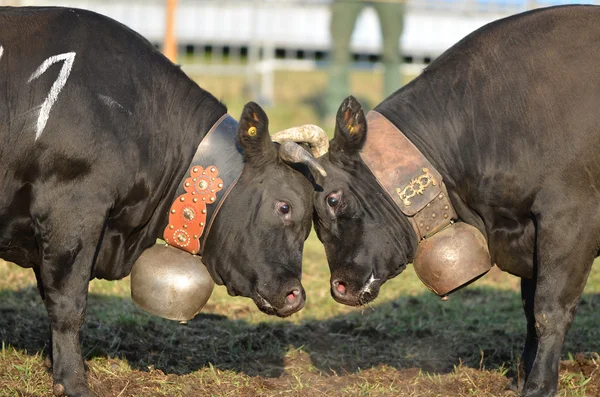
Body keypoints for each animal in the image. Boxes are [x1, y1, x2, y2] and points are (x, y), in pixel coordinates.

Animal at [314, 6, 600, 396]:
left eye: (333, 199)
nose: (339, 287)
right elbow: (529, 309)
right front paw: (520, 378)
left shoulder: (570, 220)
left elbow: (549, 310)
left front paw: (539, 386)